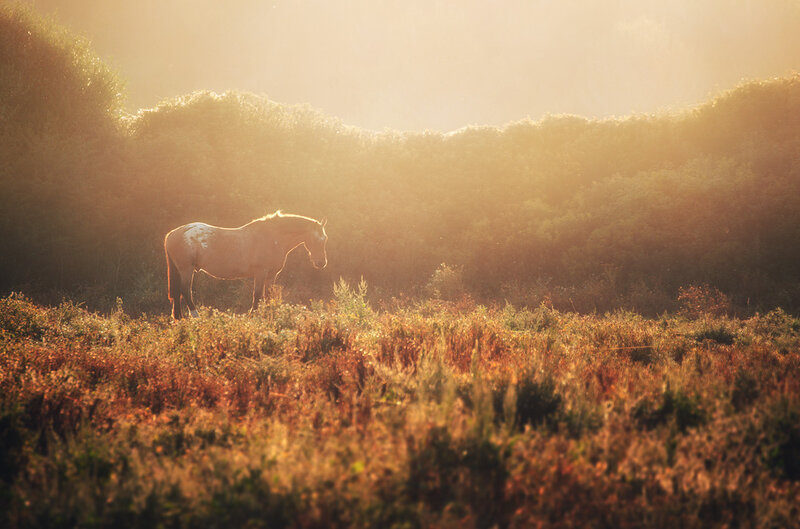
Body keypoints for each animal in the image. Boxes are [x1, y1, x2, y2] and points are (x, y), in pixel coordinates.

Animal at [164, 211, 327, 319]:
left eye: (325, 239)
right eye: (317, 239)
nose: (321, 263)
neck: (272, 237)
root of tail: (173, 233)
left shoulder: (271, 275)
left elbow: (268, 296)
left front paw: (270, 314)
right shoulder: (261, 273)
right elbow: (258, 295)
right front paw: (254, 315)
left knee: (178, 293)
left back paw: (179, 318)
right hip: (186, 269)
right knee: (185, 291)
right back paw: (196, 316)